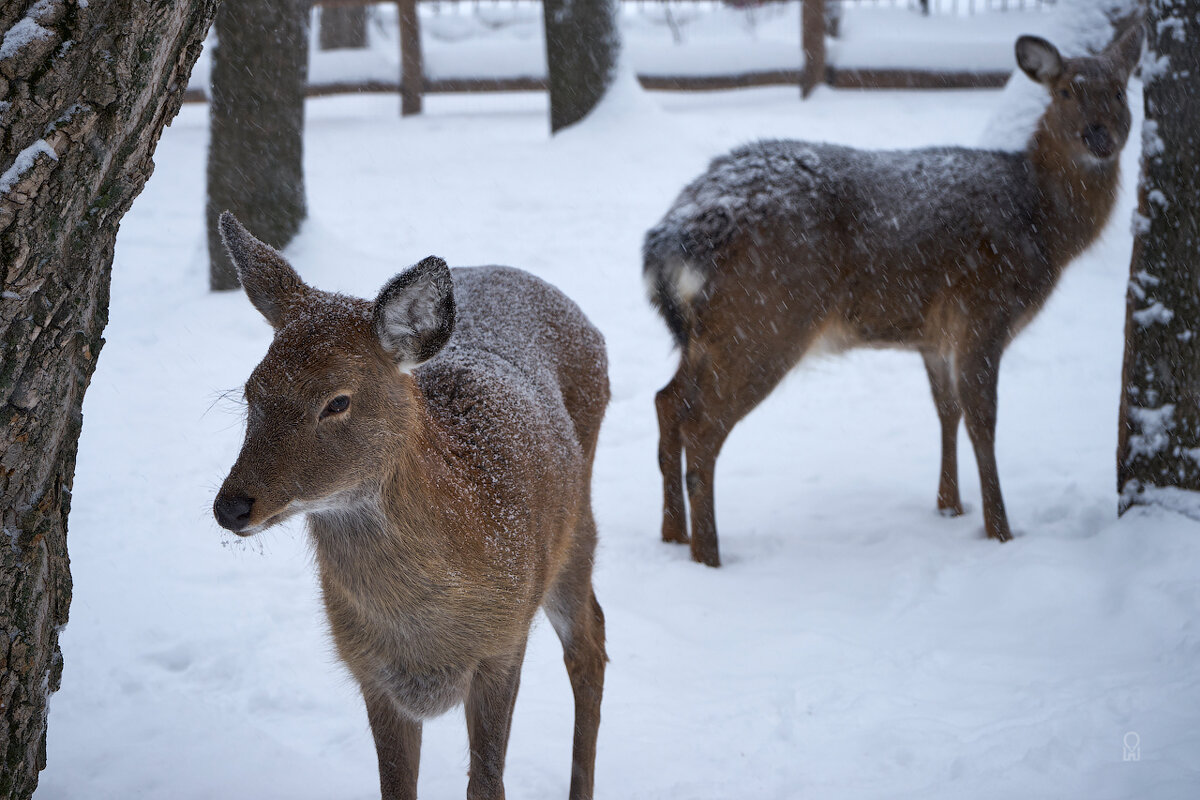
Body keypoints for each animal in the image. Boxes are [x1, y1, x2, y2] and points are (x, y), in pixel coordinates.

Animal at [211, 212, 609, 800]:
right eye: (250, 389)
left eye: (337, 401)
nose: (231, 506)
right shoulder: (369, 671)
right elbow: (396, 787)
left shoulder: (503, 642)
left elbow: (487, 782)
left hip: (574, 527)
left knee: (590, 643)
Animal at [648, 29, 1142, 568]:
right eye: (1066, 92)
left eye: (1120, 91)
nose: (1099, 137)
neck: (1040, 224)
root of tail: (682, 227)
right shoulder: (982, 308)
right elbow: (983, 419)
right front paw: (1001, 532)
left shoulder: (934, 335)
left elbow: (947, 410)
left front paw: (949, 507)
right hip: (767, 318)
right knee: (701, 426)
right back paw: (709, 556)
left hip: (708, 330)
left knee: (667, 401)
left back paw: (673, 535)